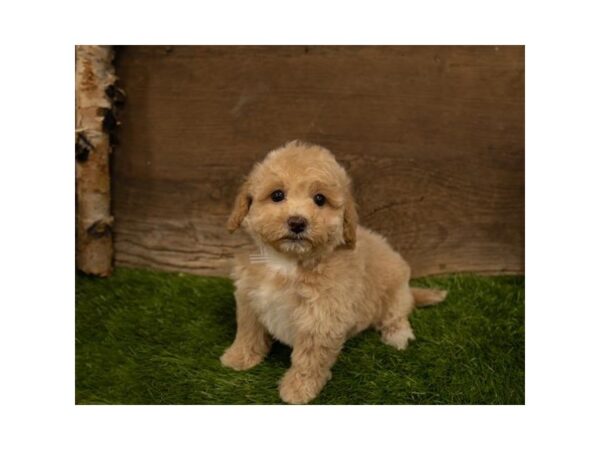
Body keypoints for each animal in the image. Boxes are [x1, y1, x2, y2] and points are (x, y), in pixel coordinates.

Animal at [220, 141, 446, 404]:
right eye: (277, 195)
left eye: (320, 199)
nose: (297, 222)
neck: (287, 263)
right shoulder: (250, 300)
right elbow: (248, 332)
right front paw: (238, 357)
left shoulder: (322, 319)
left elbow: (310, 359)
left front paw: (298, 389)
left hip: (395, 291)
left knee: (396, 315)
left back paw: (398, 335)